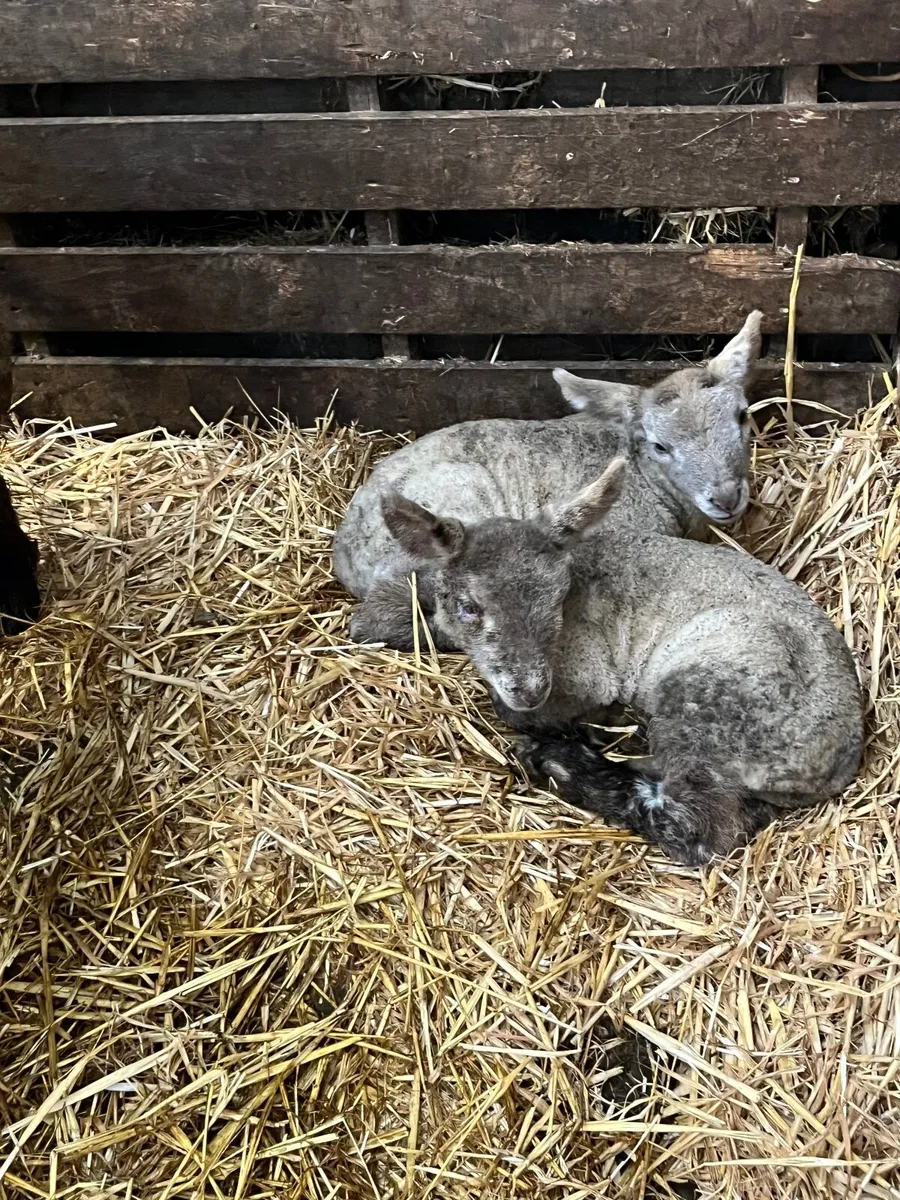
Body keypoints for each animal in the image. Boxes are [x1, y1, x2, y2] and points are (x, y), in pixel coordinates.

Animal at [374, 459, 863, 866]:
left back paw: (563, 764)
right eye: (470, 607)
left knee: (696, 829)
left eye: (558, 597)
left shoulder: (584, 670)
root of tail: (837, 763)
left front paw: (579, 724)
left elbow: (514, 708)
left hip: (709, 698)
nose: (531, 690)